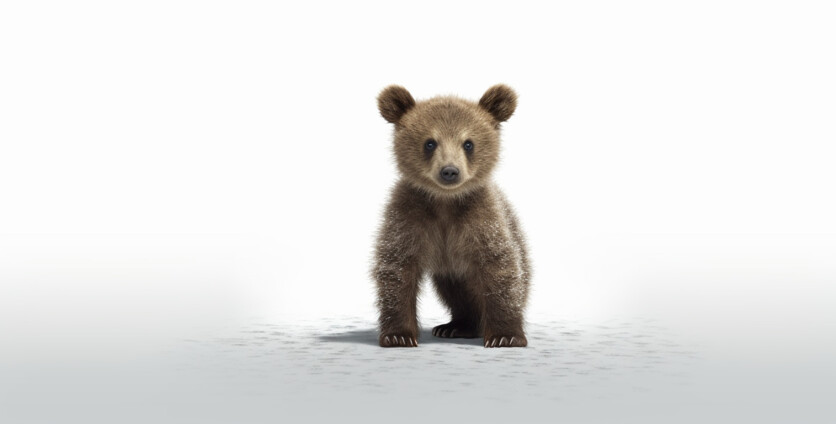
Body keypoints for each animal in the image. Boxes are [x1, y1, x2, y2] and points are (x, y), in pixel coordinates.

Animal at [371, 84, 531, 348]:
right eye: (430, 143)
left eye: (468, 143)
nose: (449, 171)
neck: (445, 202)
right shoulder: (408, 216)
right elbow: (397, 270)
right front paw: (398, 335)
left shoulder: (482, 219)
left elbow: (500, 269)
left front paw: (505, 335)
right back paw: (456, 326)